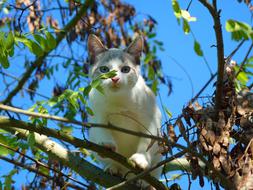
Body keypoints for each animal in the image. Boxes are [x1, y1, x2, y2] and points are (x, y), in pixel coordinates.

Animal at [88, 33, 161, 184]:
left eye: (125, 70)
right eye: (104, 70)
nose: (115, 79)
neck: (119, 100)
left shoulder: (151, 121)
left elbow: (147, 142)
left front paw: (140, 160)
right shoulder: (97, 117)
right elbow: (102, 131)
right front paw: (106, 146)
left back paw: (142, 181)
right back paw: (113, 168)